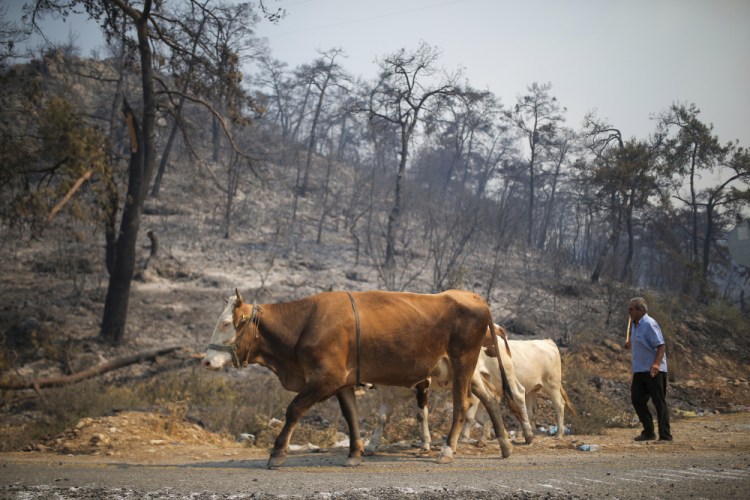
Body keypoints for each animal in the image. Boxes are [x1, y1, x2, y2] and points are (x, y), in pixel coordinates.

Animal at [365, 325, 533, 455]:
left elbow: (421, 415)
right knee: (490, 401)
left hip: (502, 371)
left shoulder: (422, 386)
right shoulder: (387, 393)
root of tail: (497, 327)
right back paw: (484, 440)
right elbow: (382, 419)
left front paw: (425, 444)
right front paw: (371, 446)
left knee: (517, 393)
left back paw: (528, 434)